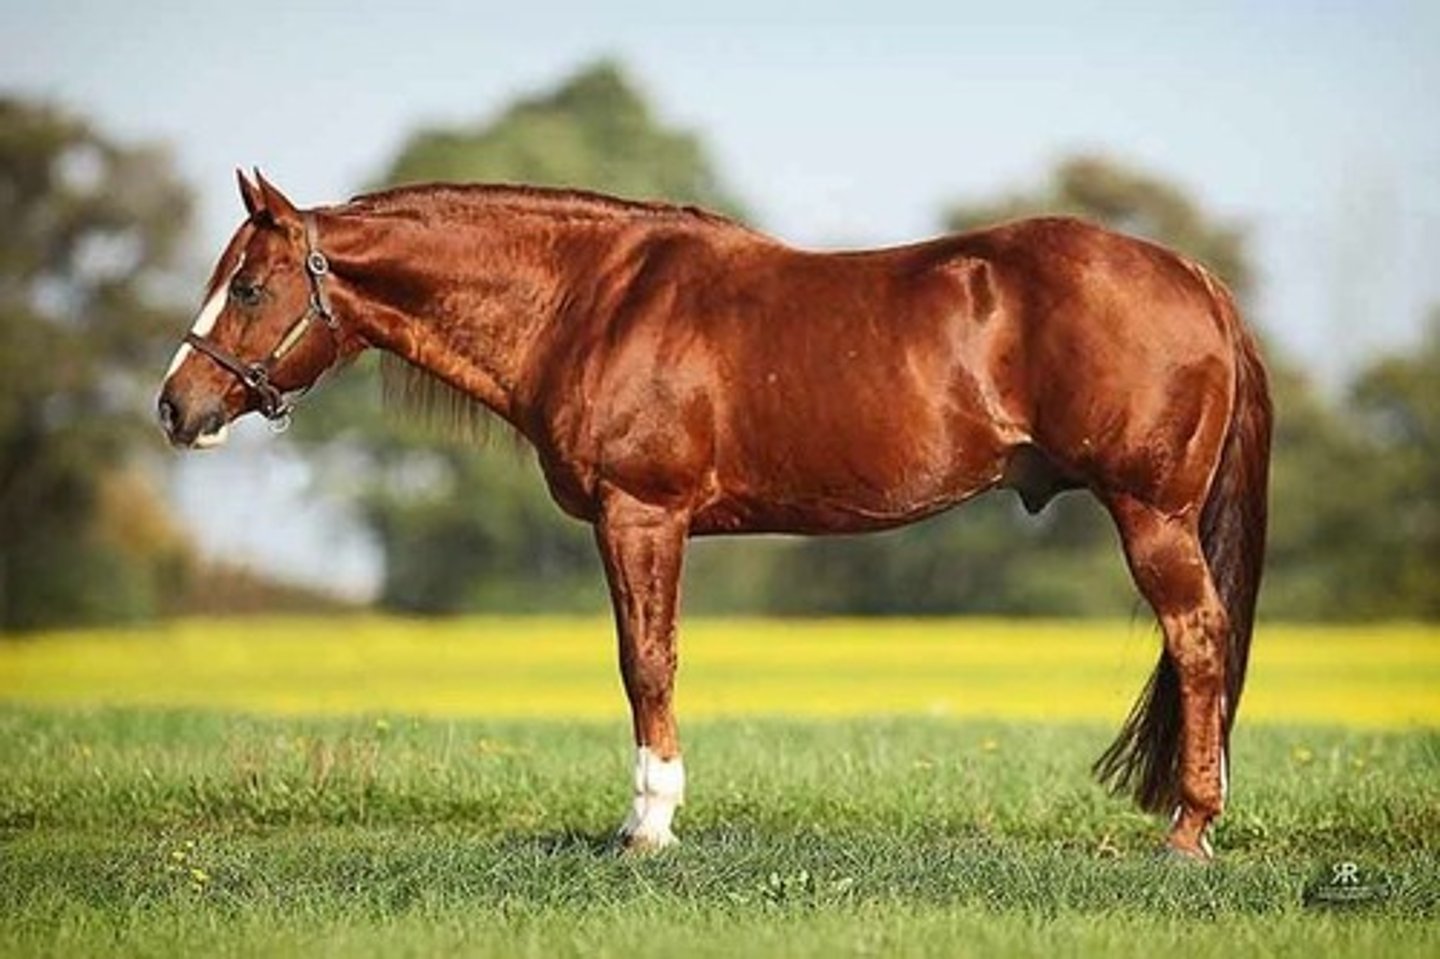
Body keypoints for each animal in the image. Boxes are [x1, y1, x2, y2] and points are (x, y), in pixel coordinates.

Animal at [159, 170, 1270, 859]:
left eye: (248, 285)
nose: (175, 406)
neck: (590, 301)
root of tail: (1198, 281)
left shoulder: (640, 513)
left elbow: (646, 661)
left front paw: (647, 825)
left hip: (1150, 513)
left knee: (1198, 636)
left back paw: (1189, 829)